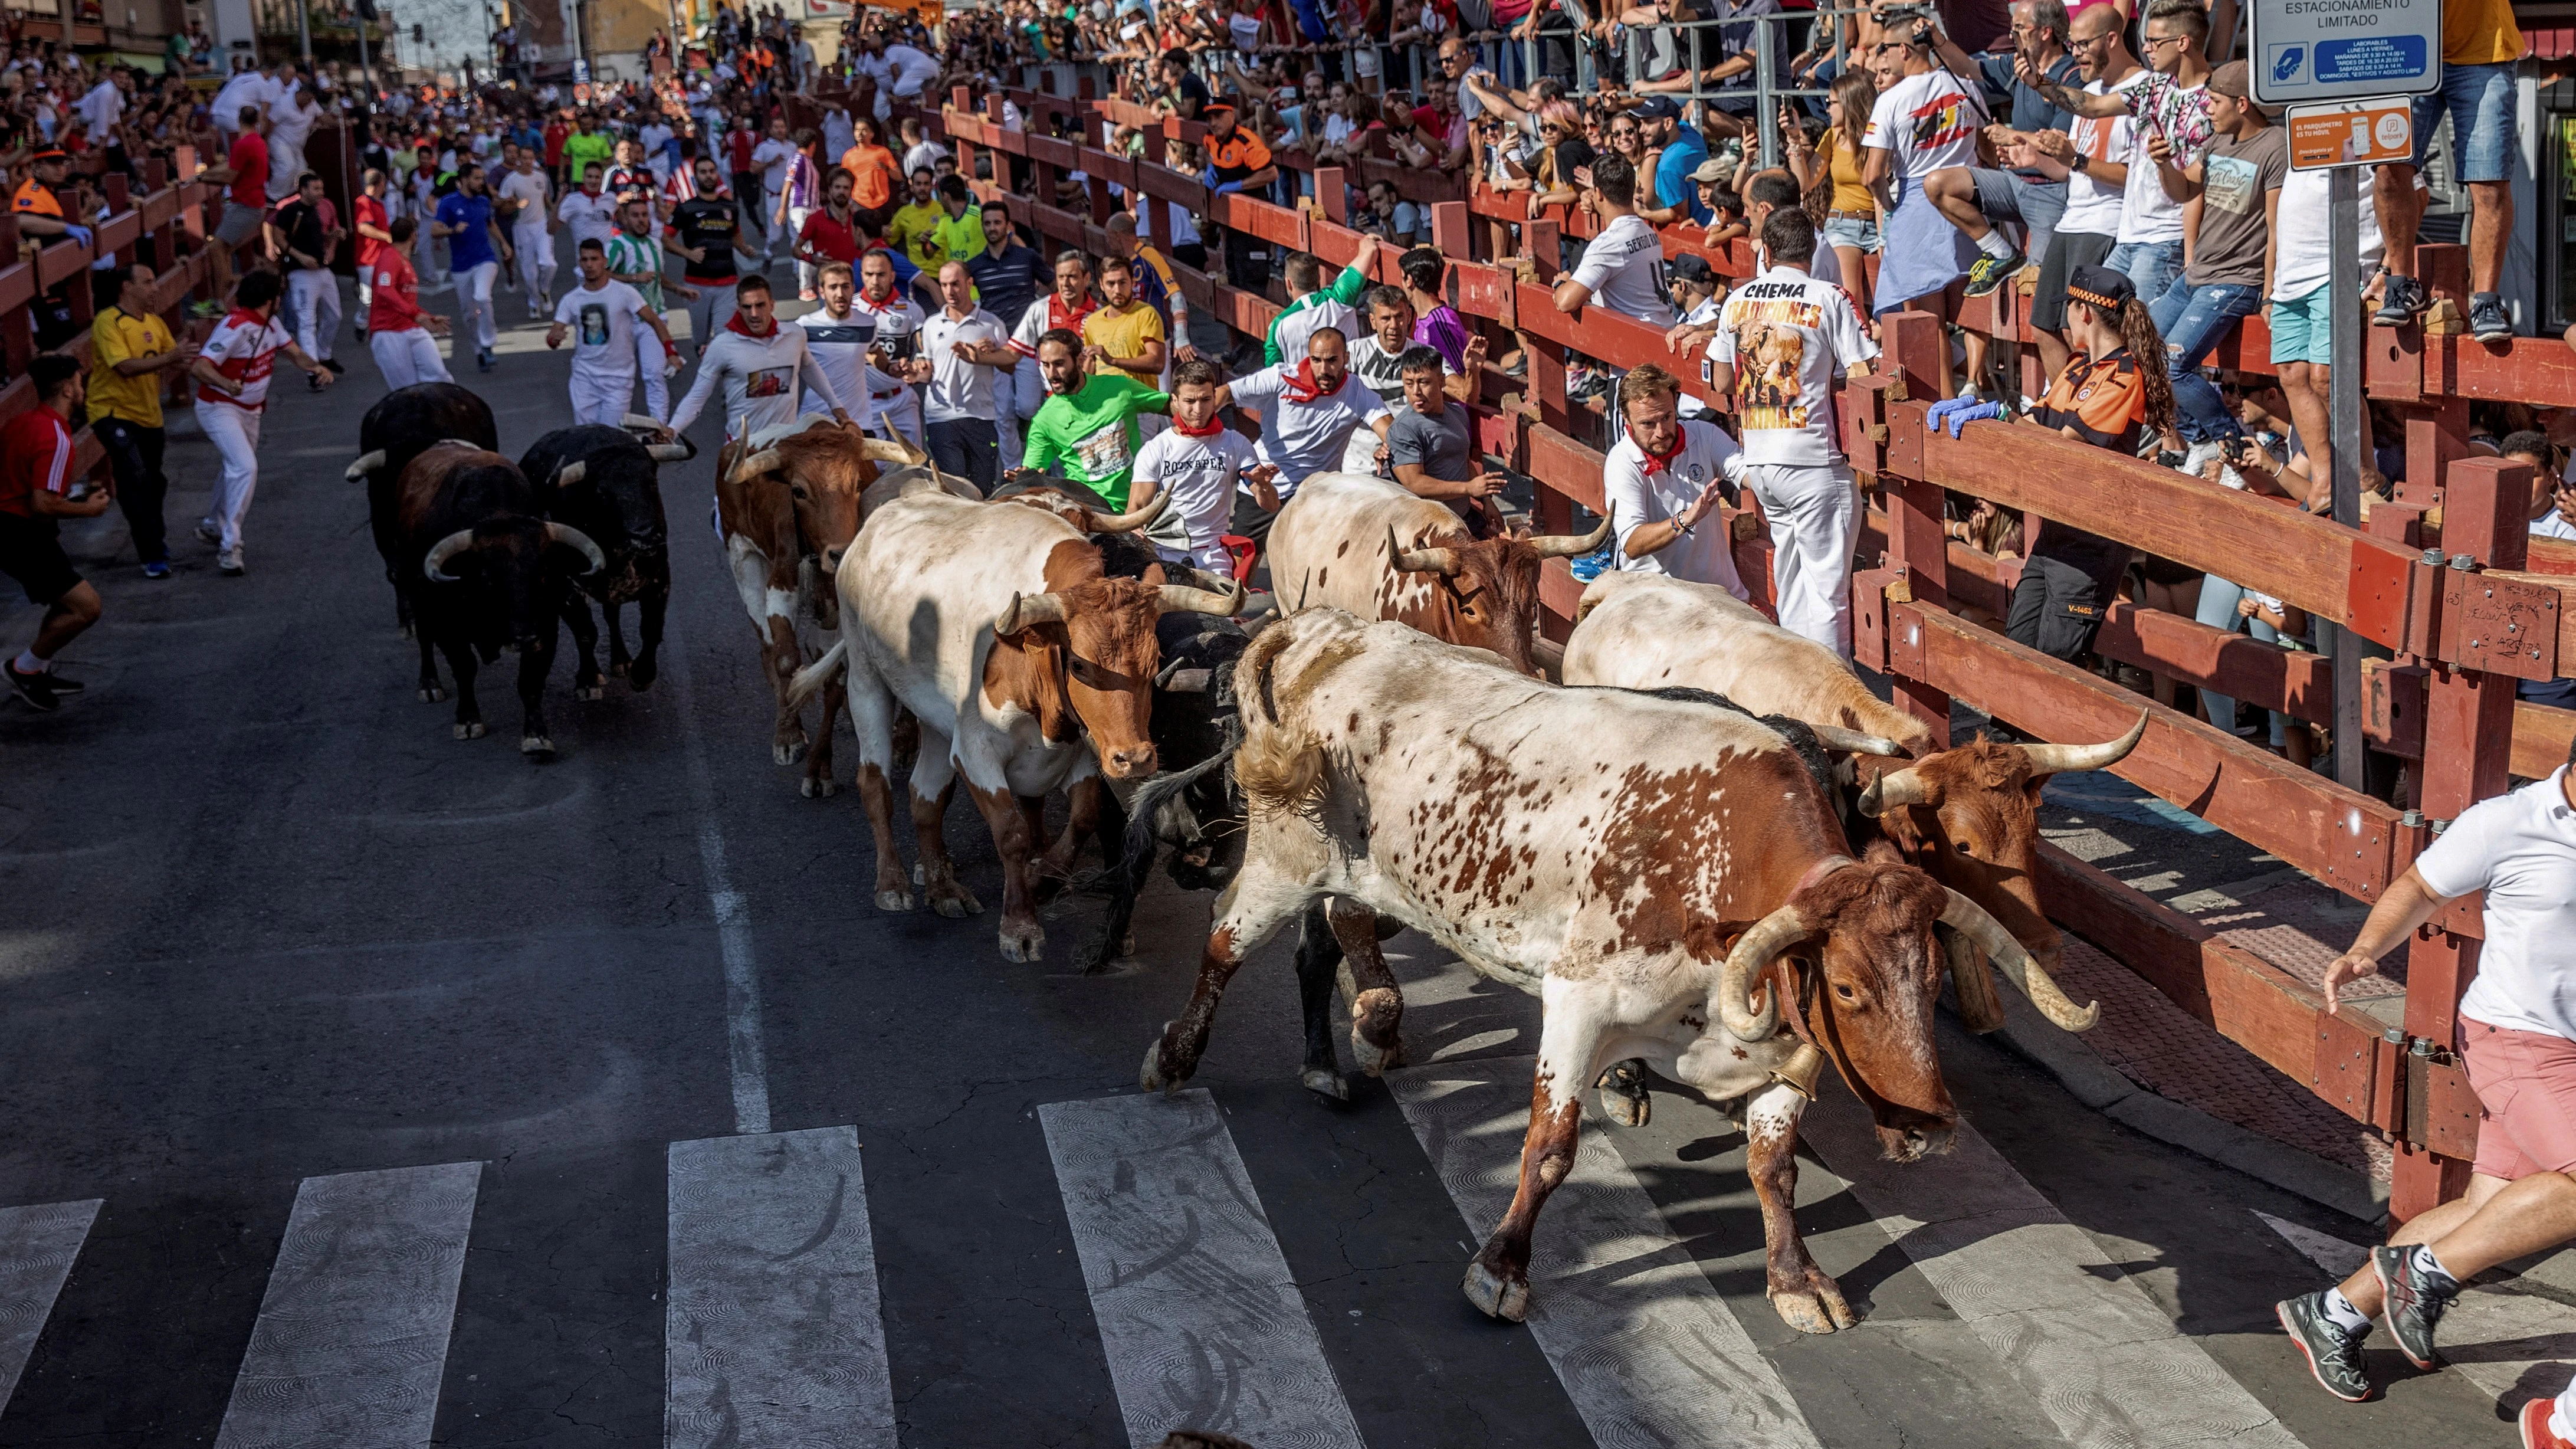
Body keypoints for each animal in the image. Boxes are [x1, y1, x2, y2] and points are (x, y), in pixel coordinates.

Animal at [783, 482, 1236, 959]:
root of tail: (877, 522)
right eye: (1078, 664)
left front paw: (1043, 878)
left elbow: (1084, 817)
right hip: (866, 677)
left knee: (925, 796)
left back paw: (943, 888)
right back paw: (893, 881)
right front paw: (1020, 924)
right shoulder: (976, 751)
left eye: (1155, 660)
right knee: (875, 784)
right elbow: (1012, 834)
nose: (1136, 758)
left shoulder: (1084, 750)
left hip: (932, 715)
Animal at [1138, 605, 2102, 1330]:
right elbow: (1548, 1147)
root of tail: (1321, 629)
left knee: (1325, 939)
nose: (1930, 1125)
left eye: (1931, 979)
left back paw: (1334, 1050)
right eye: (1846, 987)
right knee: (1224, 949)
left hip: (1355, 876)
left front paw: (1794, 1278)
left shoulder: (1783, 1050)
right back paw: (1180, 1054)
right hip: (1284, 858)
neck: (1717, 862)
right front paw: (1502, 1266)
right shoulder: (1580, 1002)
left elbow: (1775, 1169)